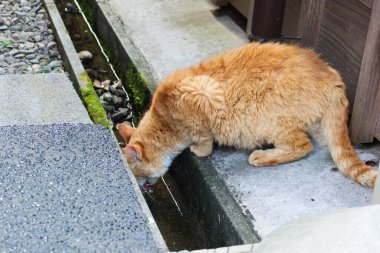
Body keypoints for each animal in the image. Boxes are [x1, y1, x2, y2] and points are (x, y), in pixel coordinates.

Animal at [119, 41, 378, 188]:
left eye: (136, 174)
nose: (141, 188)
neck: (164, 119)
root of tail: (333, 77)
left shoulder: (203, 98)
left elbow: (203, 140)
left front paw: (198, 150)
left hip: (271, 121)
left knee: (303, 146)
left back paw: (262, 157)